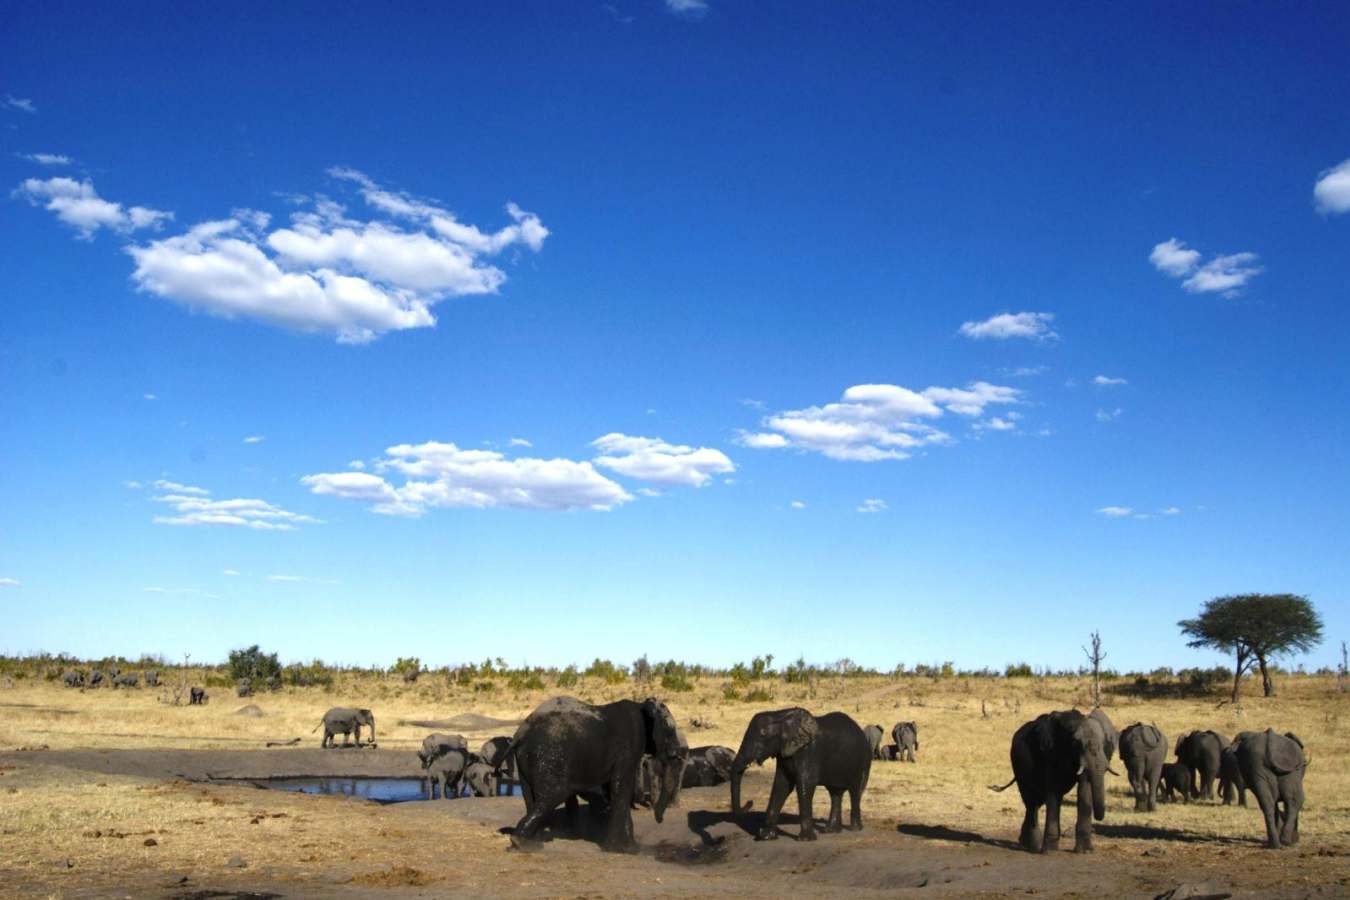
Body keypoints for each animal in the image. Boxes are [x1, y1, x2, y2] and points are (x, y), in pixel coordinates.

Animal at [506, 696, 684, 853]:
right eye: (670, 730)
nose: (659, 820)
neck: (642, 705)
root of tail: (519, 735)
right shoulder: (630, 745)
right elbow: (621, 786)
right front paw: (626, 850)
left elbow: (613, 790)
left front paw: (627, 847)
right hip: (548, 756)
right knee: (554, 794)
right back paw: (523, 843)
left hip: (526, 761)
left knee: (531, 796)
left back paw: (531, 843)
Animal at [730, 707, 872, 842]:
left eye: (763, 735)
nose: (749, 802)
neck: (781, 715)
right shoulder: (784, 752)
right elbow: (782, 785)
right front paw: (766, 836)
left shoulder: (810, 751)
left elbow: (805, 784)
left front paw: (805, 839)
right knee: (835, 793)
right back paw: (831, 830)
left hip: (862, 759)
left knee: (855, 791)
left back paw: (855, 829)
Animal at [991, 709, 1116, 853]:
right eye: (1076, 743)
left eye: (1103, 743)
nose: (1099, 818)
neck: (1073, 722)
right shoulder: (1050, 753)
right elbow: (1054, 790)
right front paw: (1050, 851)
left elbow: (1085, 789)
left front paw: (1085, 852)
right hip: (1018, 765)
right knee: (1031, 802)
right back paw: (1034, 847)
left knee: (1036, 802)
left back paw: (1024, 843)